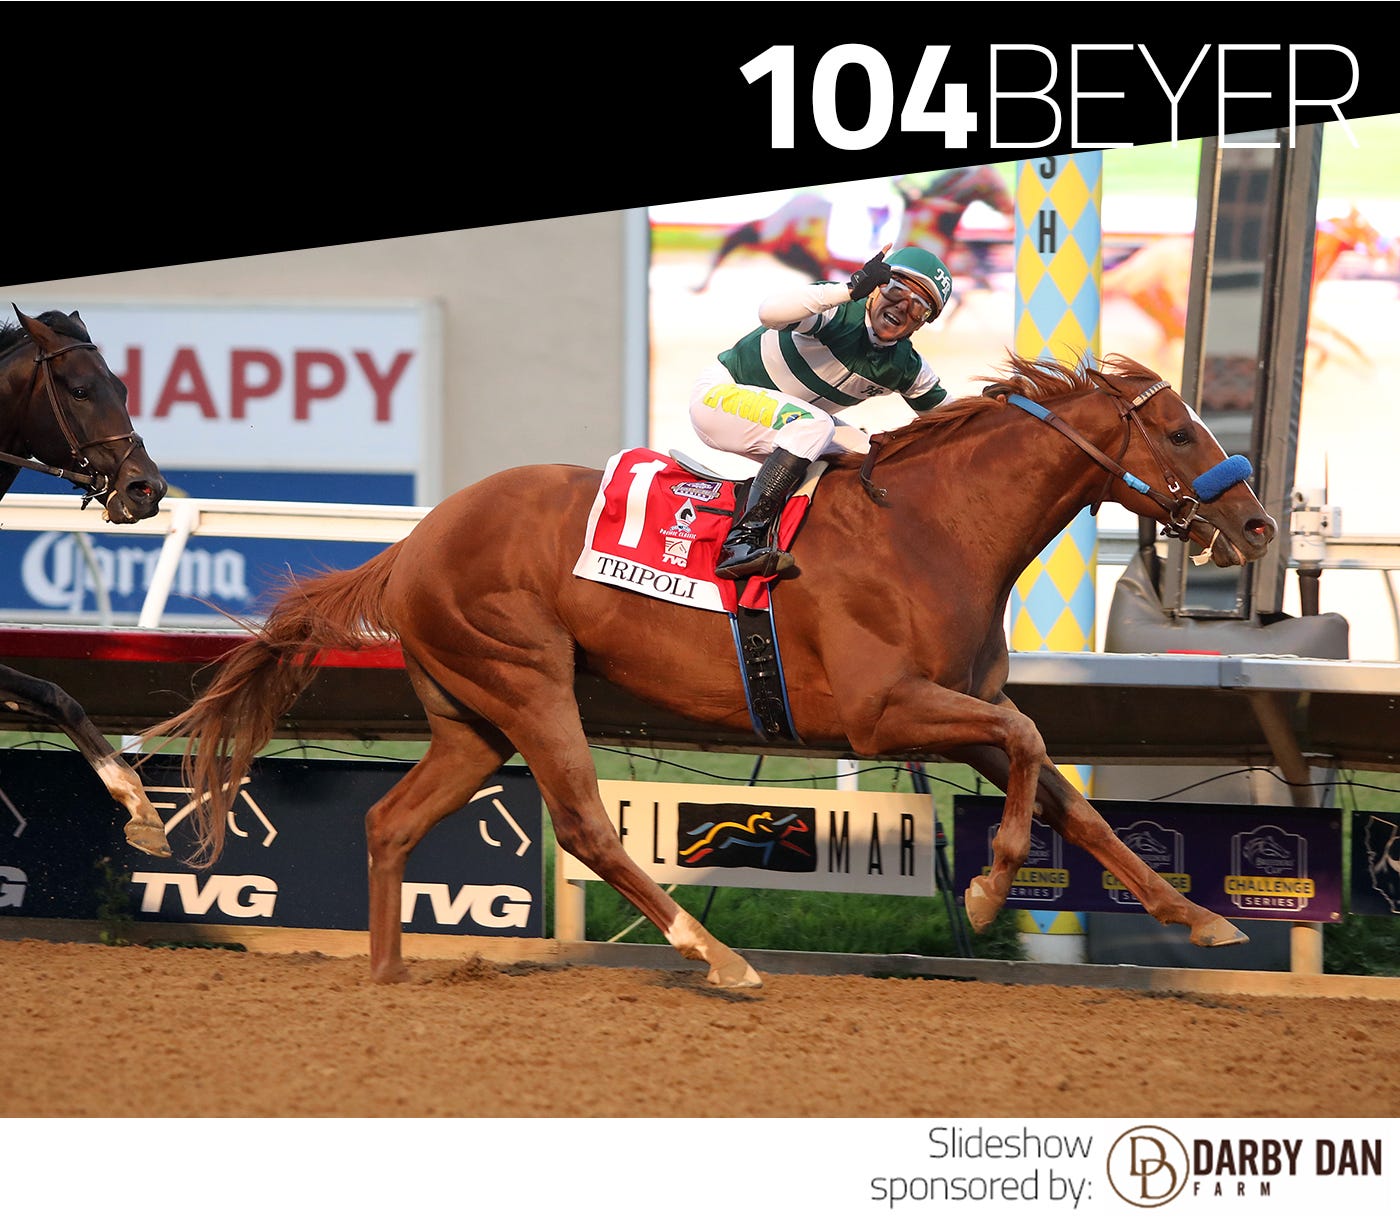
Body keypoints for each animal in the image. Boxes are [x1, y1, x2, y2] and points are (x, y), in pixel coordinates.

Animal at [138, 350, 1277, 988]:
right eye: (1179, 431)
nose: (1258, 523)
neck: (932, 530)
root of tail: (414, 542)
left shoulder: (962, 702)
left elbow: (1066, 795)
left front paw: (1198, 916)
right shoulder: (886, 712)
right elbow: (1035, 743)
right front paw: (995, 889)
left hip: (472, 715)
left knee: (388, 820)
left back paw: (383, 972)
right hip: (528, 681)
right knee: (586, 825)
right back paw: (717, 958)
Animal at [690, 164, 1015, 294]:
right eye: (996, 183)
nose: (1012, 209)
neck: (931, 217)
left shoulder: (948, 261)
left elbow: (976, 270)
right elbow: (973, 274)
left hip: (800, 256)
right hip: (777, 238)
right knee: (737, 235)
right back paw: (700, 283)